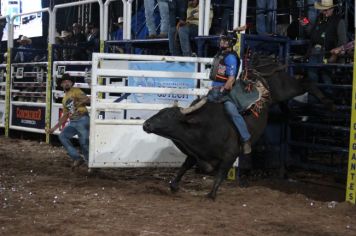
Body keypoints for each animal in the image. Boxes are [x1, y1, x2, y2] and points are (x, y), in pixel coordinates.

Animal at [143, 69, 334, 199]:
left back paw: (327, 102)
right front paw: (174, 185)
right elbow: (185, 166)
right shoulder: (196, 153)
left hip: (284, 88)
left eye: (168, 115)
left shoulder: (230, 154)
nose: (146, 124)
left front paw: (211, 194)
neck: (201, 127)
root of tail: (258, 74)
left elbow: (221, 172)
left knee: (305, 83)